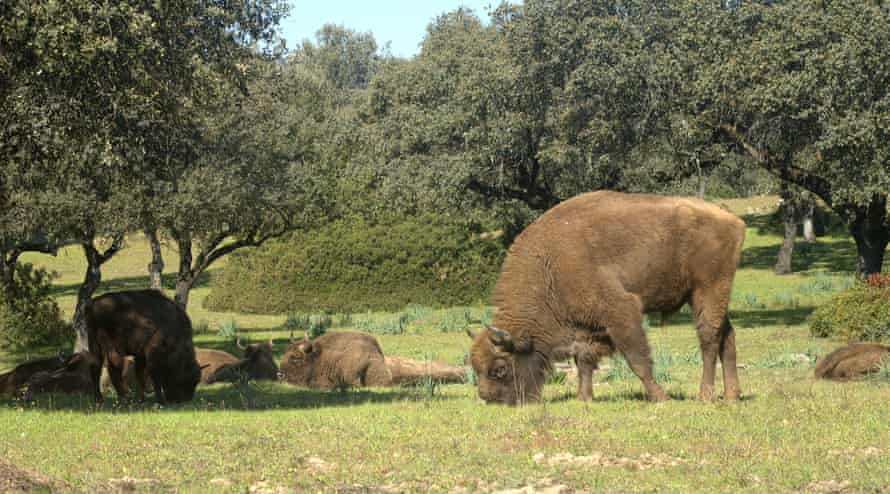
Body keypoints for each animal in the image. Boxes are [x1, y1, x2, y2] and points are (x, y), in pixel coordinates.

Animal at [468, 191, 744, 404]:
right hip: (706, 294)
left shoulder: (621, 312)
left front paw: (660, 397)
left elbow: (636, 358)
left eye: (500, 369)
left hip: (707, 289)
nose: (488, 398)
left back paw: (705, 395)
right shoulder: (585, 325)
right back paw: (732, 396)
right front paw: (584, 398)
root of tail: (733, 219)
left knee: (709, 337)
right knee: (727, 335)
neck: (549, 265)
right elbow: (583, 359)